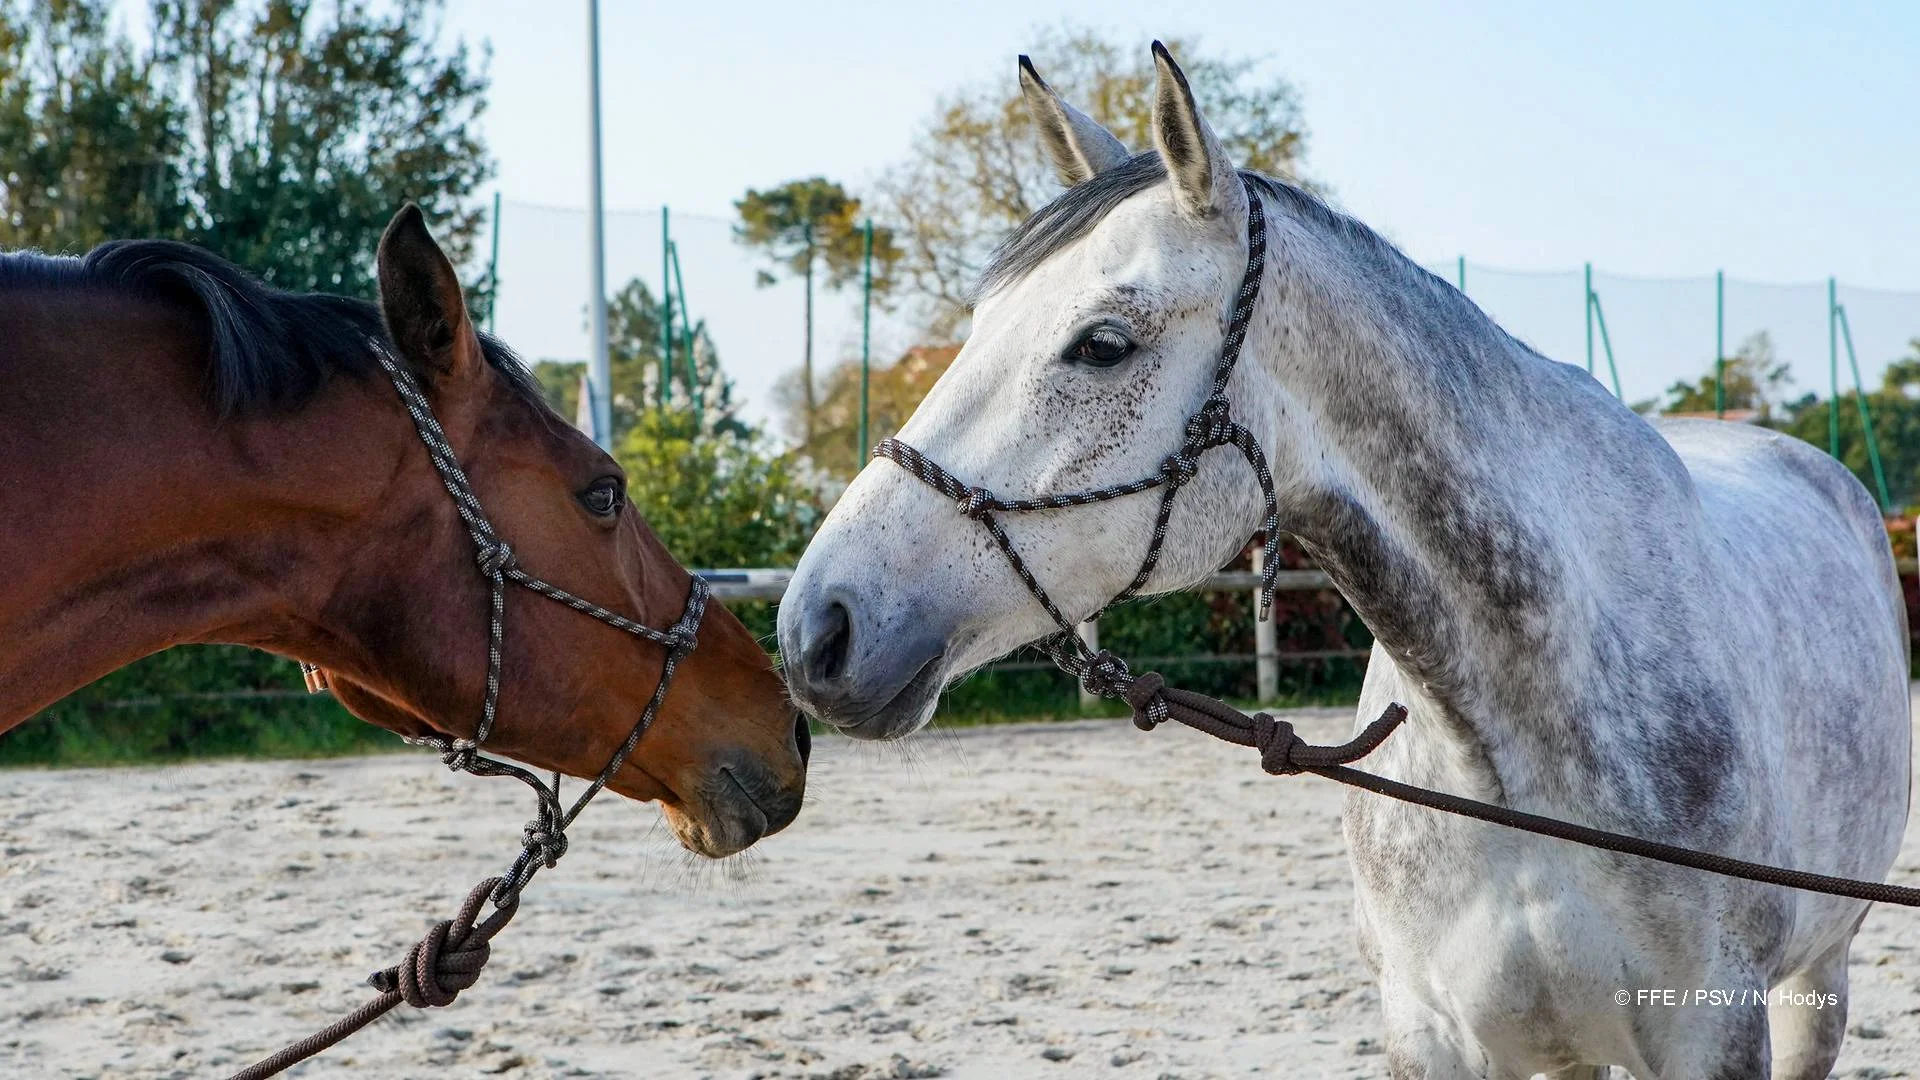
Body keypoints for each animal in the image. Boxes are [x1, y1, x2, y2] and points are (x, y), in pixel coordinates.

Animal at [779, 44, 1910, 1079]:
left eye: (1102, 343)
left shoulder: (1712, 1029)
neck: (1511, 744)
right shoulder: (1436, 1034)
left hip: (1817, 983)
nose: (816, 629)